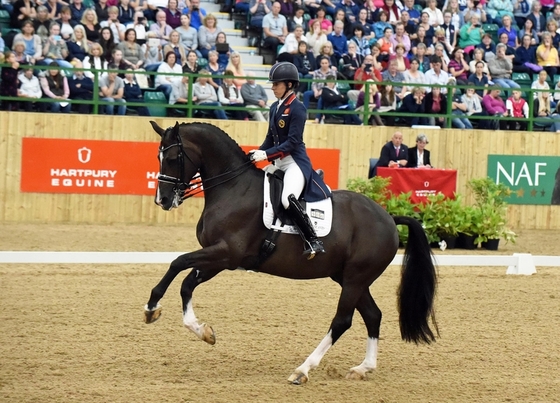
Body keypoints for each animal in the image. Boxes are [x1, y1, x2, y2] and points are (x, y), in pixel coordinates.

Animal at [144, 122, 438, 386]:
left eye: (173, 158)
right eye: (159, 157)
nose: (162, 200)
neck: (233, 188)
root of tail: (388, 217)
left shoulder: (226, 253)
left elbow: (177, 262)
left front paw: (151, 307)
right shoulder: (218, 259)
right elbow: (186, 283)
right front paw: (203, 331)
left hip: (355, 279)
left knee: (342, 321)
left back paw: (303, 370)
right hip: (349, 278)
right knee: (373, 315)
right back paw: (363, 368)